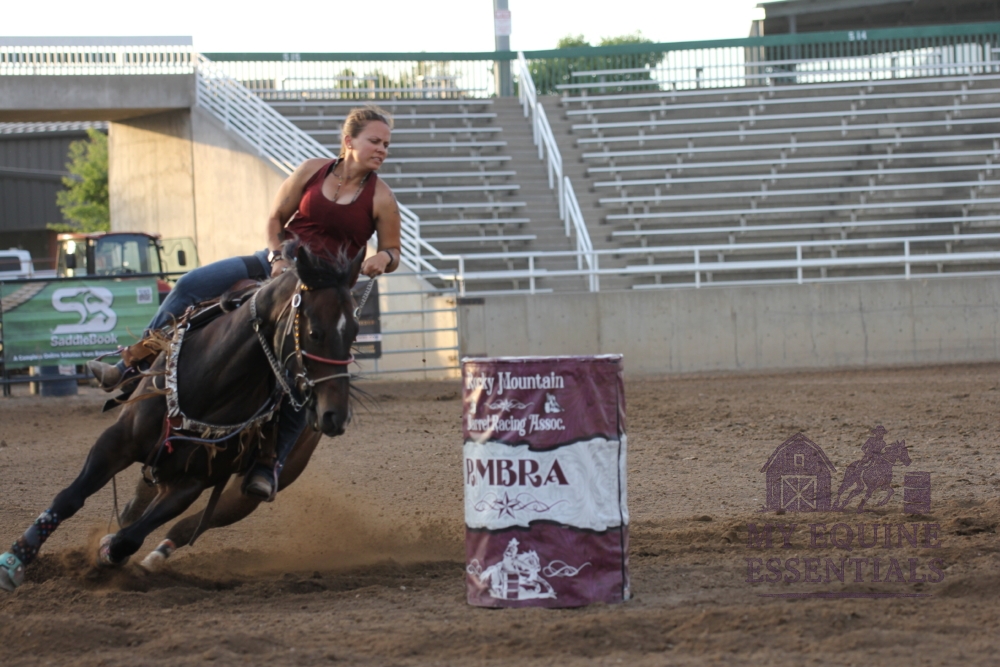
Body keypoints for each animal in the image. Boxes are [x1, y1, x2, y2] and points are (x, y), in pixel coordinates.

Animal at [0, 246, 363, 591]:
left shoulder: (191, 482)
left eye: (354, 332)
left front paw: (106, 554)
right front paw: (16, 560)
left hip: (251, 490)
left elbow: (131, 538)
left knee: (191, 524)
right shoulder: (118, 441)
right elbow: (70, 497)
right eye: (315, 333)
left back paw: (153, 559)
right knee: (136, 505)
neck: (213, 380)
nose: (335, 415)